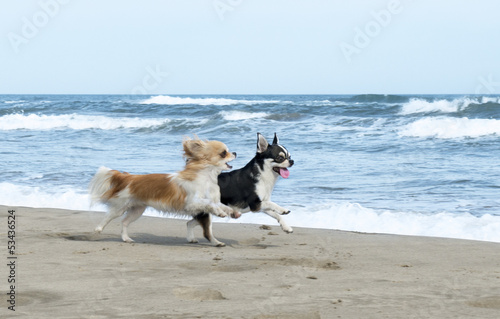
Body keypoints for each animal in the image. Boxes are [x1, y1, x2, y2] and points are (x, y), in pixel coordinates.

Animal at [89, 138, 239, 248]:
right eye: (224, 153)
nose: (235, 152)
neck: (206, 177)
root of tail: (130, 177)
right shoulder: (191, 203)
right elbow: (209, 203)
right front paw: (220, 212)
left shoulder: (210, 201)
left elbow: (221, 205)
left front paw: (232, 212)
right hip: (121, 206)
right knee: (108, 216)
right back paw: (98, 229)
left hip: (137, 210)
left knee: (124, 222)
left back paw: (126, 238)